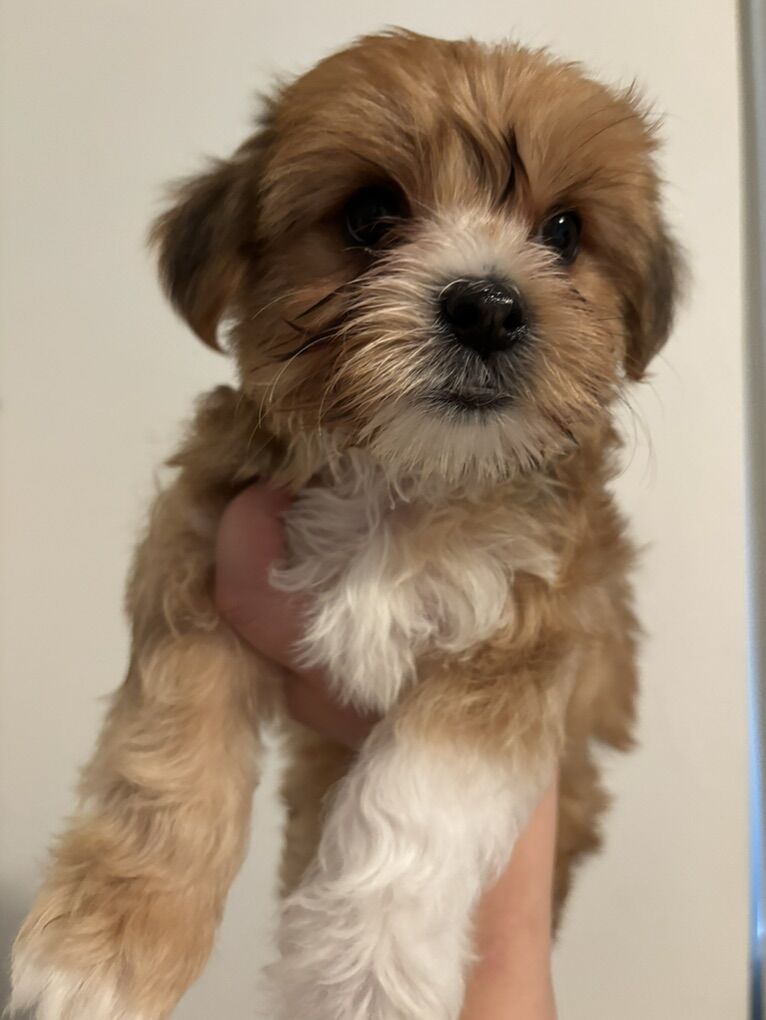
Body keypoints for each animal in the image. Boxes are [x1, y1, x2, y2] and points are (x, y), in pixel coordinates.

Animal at [12, 28, 682, 1020]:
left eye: (563, 231)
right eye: (371, 215)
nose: (488, 306)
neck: (408, 484)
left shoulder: (532, 633)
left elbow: (421, 797)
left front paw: (364, 978)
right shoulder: (199, 556)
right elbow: (166, 765)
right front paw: (102, 951)